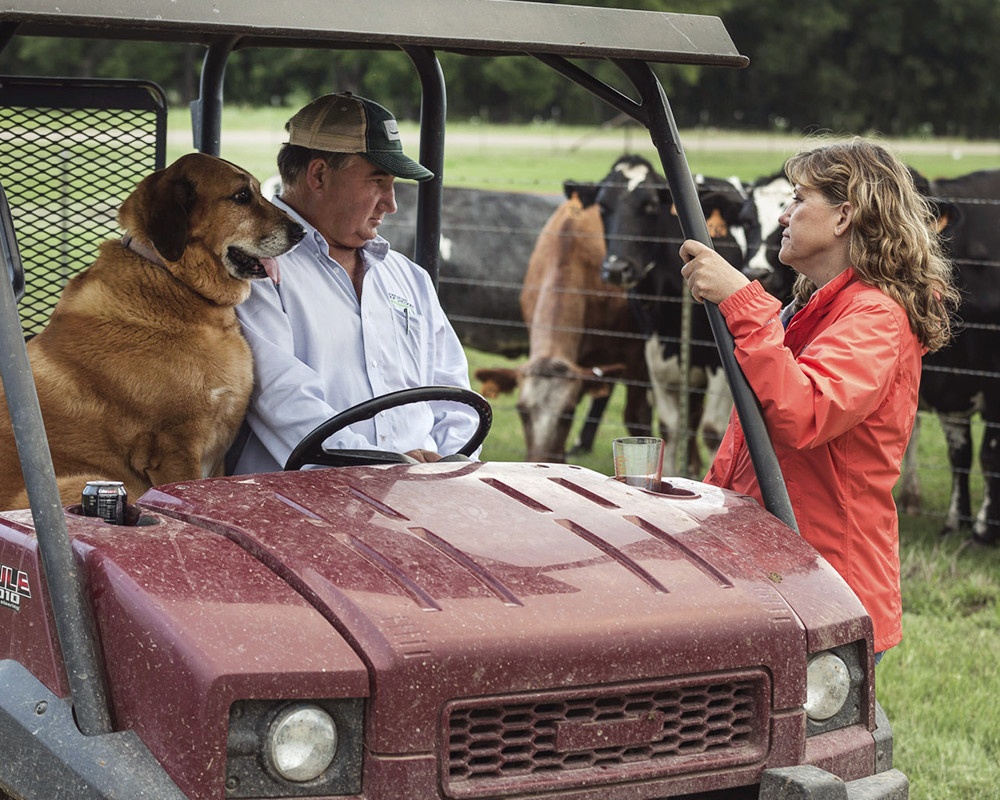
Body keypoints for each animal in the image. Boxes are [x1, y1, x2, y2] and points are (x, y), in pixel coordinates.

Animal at [0, 153, 304, 510]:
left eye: (257, 189)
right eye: (241, 196)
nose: (301, 231)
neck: (176, 281)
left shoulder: (215, 457)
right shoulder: (174, 448)